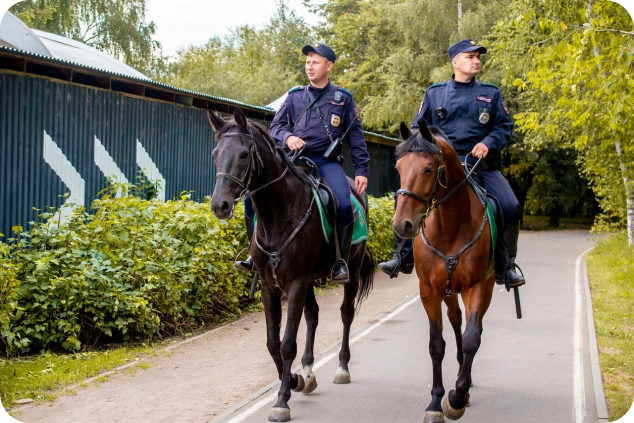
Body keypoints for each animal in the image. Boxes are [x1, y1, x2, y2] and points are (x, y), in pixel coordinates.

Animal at [205, 107, 372, 422]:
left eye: (244, 154)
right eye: (215, 153)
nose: (219, 205)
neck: (279, 213)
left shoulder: (295, 283)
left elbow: (286, 344)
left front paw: (282, 400)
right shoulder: (270, 285)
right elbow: (273, 343)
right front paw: (294, 379)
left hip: (351, 270)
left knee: (346, 313)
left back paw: (342, 368)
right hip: (309, 281)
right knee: (313, 315)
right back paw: (308, 371)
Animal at [390, 122, 494, 423]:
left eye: (428, 168)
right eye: (398, 167)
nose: (402, 225)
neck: (450, 226)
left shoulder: (476, 286)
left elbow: (472, 339)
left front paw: (457, 398)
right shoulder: (429, 290)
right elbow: (437, 344)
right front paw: (436, 403)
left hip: (487, 286)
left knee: (473, 326)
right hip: (448, 291)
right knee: (456, 319)